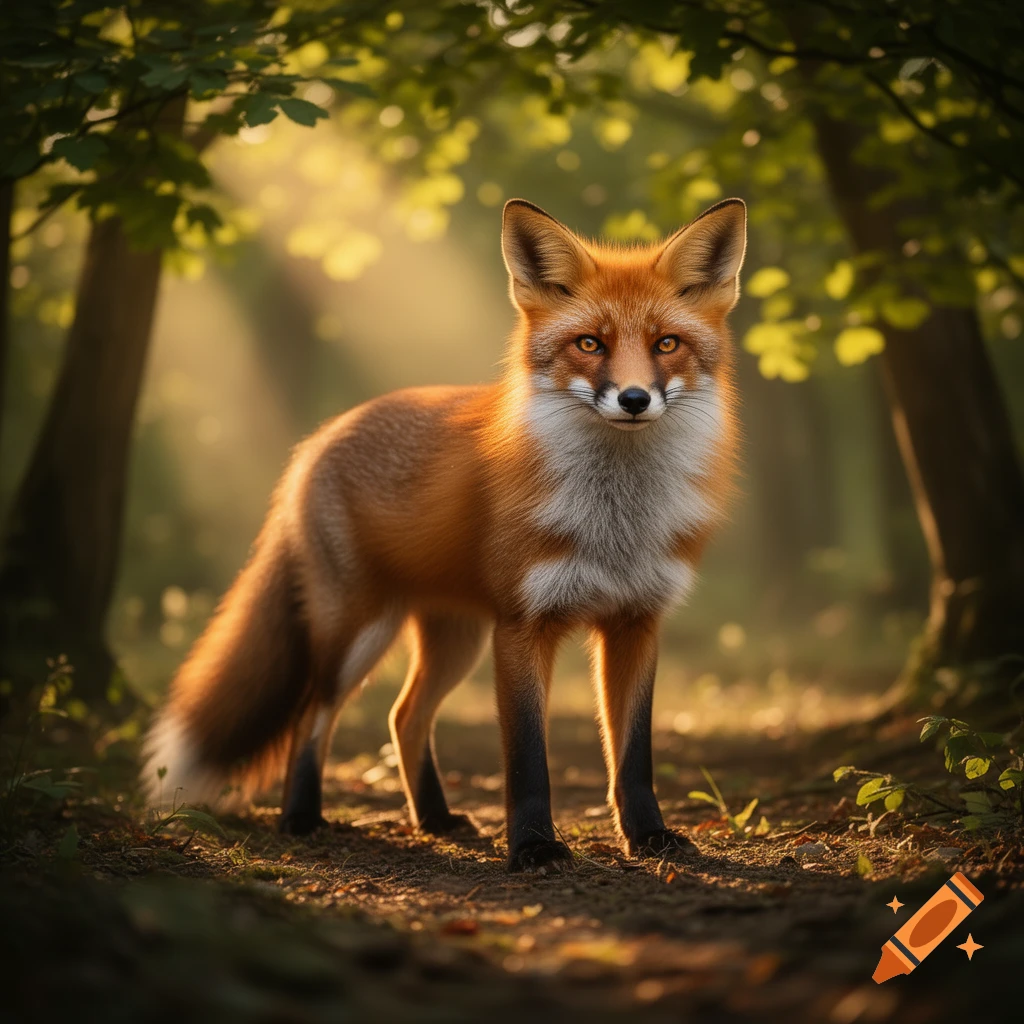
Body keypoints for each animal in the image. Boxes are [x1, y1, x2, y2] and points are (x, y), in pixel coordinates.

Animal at [142, 196, 746, 872]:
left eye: (667, 343)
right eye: (590, 343)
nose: (635, 398)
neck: (615, 522)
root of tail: (319, 439)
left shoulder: (636, 622)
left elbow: (634, 756)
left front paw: (650, 837)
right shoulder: (521, 627)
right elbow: (527, 761)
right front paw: (533, 847)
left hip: (455, 638)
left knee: (404, 716)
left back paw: (433, 818)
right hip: (357, 632)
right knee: (310, 716)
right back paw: (301, 818)